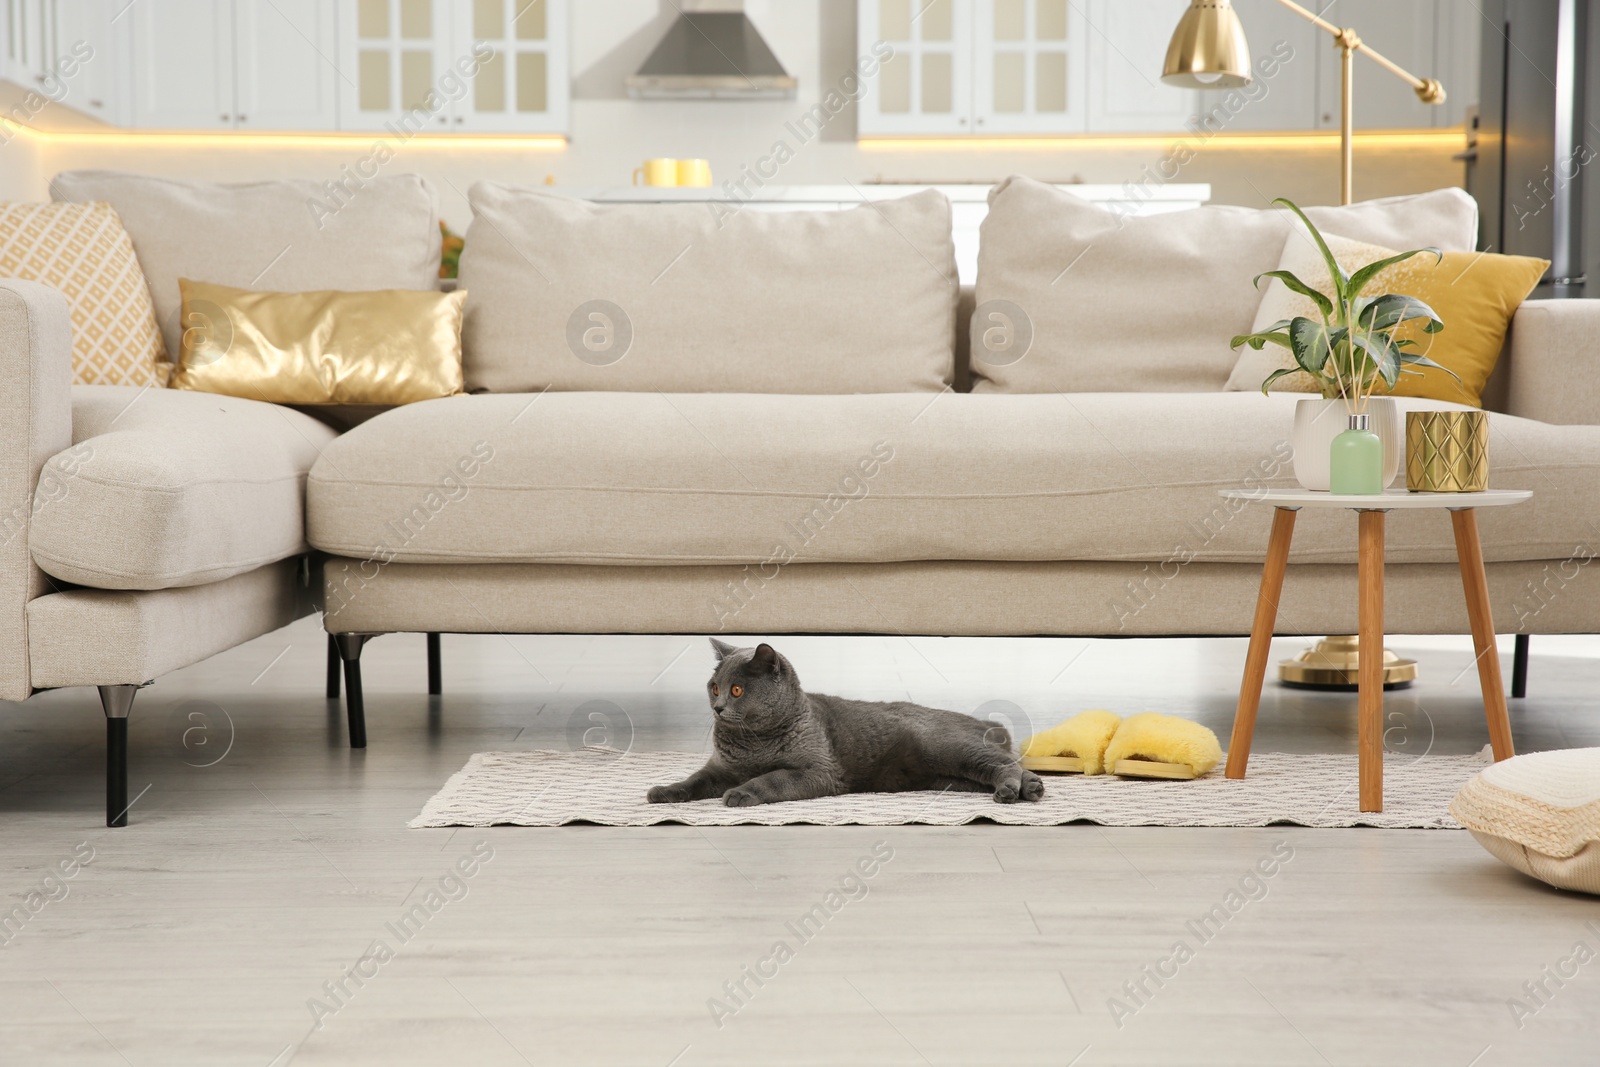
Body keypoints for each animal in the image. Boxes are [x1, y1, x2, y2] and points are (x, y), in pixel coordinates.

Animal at [643, 643, 1043, 809]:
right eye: (714, 687)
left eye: (737, 689)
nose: (718, 707)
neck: (754, 742)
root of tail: (986, 722)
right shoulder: (720, 768)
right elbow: (694, 780)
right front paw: (663, 791)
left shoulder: (819, 771)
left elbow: (773, 778)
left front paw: (742, 793)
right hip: (946, 776)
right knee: (1007, 764)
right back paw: (1031, 787)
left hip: (942, 747)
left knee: (1002, 762)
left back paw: (1012, 790)